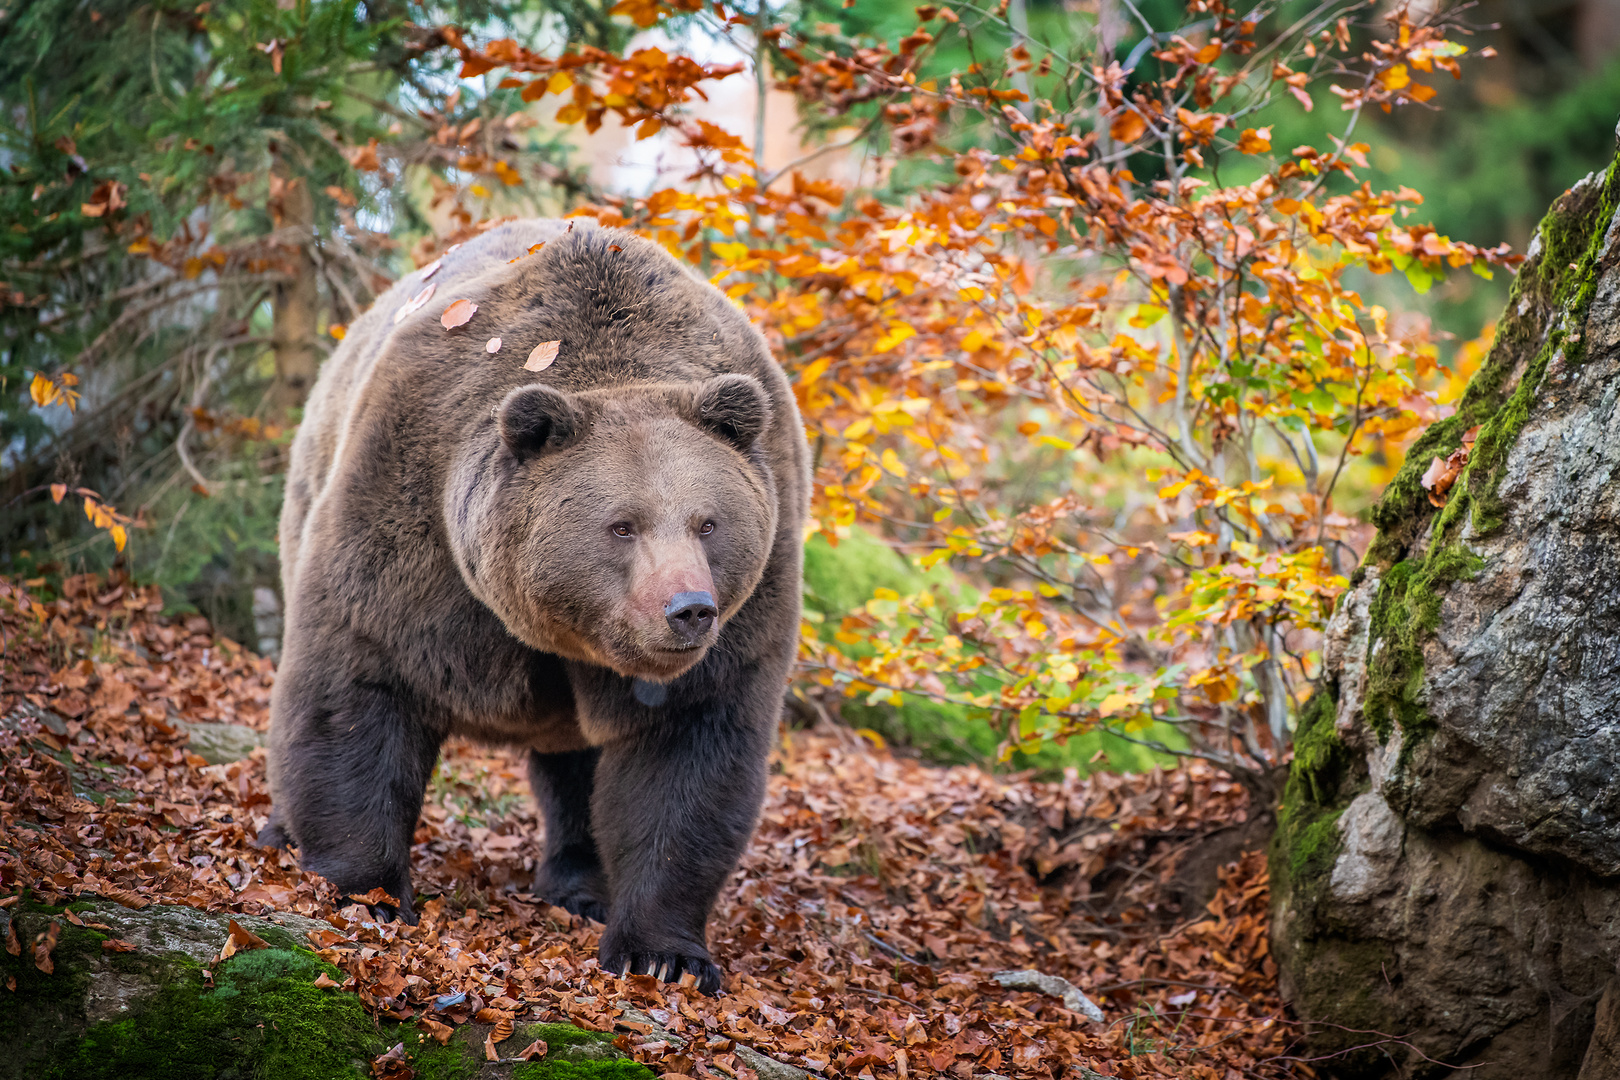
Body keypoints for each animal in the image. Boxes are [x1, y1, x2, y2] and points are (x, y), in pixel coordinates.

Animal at [262, 220, 810, 997]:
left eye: (708, 522)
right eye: (623, 525)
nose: (689, 609)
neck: (563, 633)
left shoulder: (747, 613)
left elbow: (688, 757)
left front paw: (665, 953)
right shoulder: (413, 526)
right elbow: (356, 686)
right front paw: (364, 892)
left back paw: (580, 885)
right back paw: (279, 832)